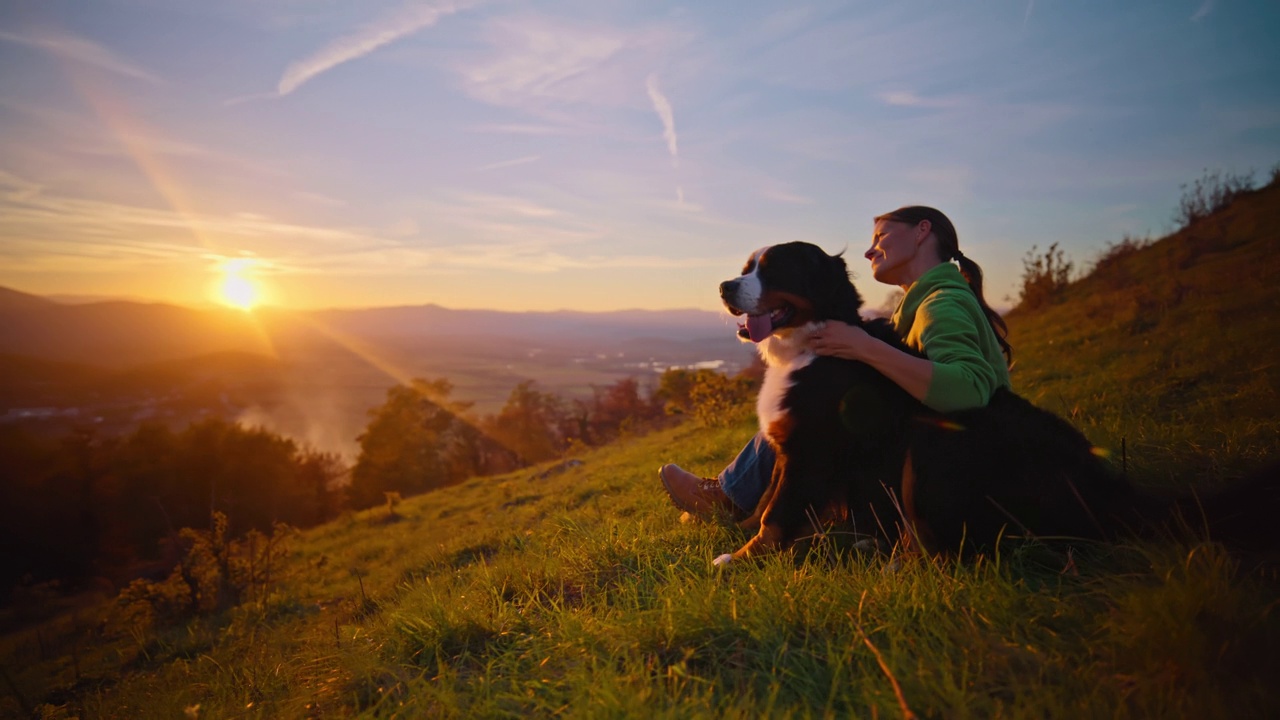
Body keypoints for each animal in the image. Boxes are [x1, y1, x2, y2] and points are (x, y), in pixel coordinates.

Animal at [716, 243, 1146, 563]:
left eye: (773, 270)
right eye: (747, 268)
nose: (724, 286)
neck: (807, 346)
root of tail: (1115, 494)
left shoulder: (811, 449)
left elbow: (775, 515)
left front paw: (739, 560)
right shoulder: (789, 444)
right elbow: (765, 502)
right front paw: (730, 535)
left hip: (937, 443)